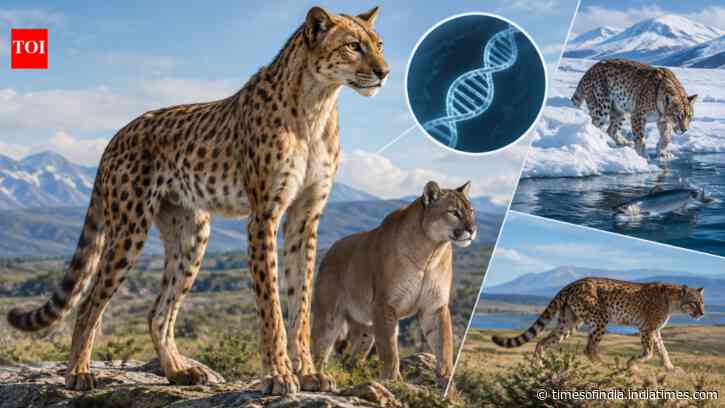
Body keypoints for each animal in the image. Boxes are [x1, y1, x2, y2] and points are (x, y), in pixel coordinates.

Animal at [6, 6, 389, 395]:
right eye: (353, 45)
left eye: (379, 44)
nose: (384, 73)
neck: (317, 100)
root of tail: (118, 134)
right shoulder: (264, 215)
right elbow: (271, 305)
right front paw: (278, 375)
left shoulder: (304, 217)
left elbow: (302, 301)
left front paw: (309, 373)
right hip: (129, 228)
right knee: (89, 303)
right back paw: (78, 372)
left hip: (192, 235)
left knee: (157, 312)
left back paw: (178, 371)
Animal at [312, 181, 477, 385]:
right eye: (454, 212)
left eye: (471, 211)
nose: (472, 230)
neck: (430, 252)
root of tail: (331, 248)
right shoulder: (385, 304)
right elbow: (389, 349)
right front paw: (393, 380)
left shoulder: (435, 306)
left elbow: (444, 344)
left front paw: (446, 380)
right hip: (330, 315)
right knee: (319, 349)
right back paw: (319, 378)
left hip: (366, 329)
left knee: (351, 357)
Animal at [492, 277, 705, 370]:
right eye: (694, 302)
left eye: (702, 302)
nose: (702, 314)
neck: (674, 301)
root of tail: (573, 283)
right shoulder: (647, 328)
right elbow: (649, 351)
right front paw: (632, 363)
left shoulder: (655, 331)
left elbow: (662, 349)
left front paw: (670, 367)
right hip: (601, 318)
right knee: (589, 347)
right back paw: (605, 365)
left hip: (569, 323)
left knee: (542, 341)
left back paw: (538, 365)